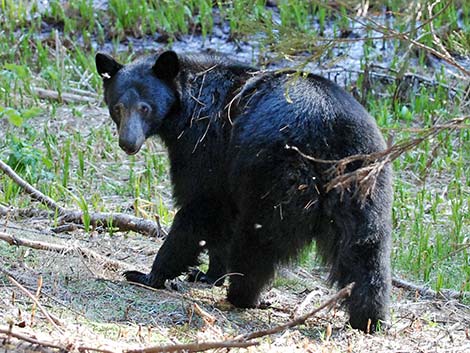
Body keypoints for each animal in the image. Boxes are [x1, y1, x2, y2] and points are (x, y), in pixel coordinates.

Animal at [95, 51, 392, 332]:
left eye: (145, 108)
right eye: (118, 107)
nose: (128, 143)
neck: (187, 102)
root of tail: (330, 140)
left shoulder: (205, 143)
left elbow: (201, 206)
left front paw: (151, 275)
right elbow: (220, 214)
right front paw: (208, 275)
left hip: (274, 178)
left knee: (257, 241)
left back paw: (243, 295)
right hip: (365, 187)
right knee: (366, 251)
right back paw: (369, 318)